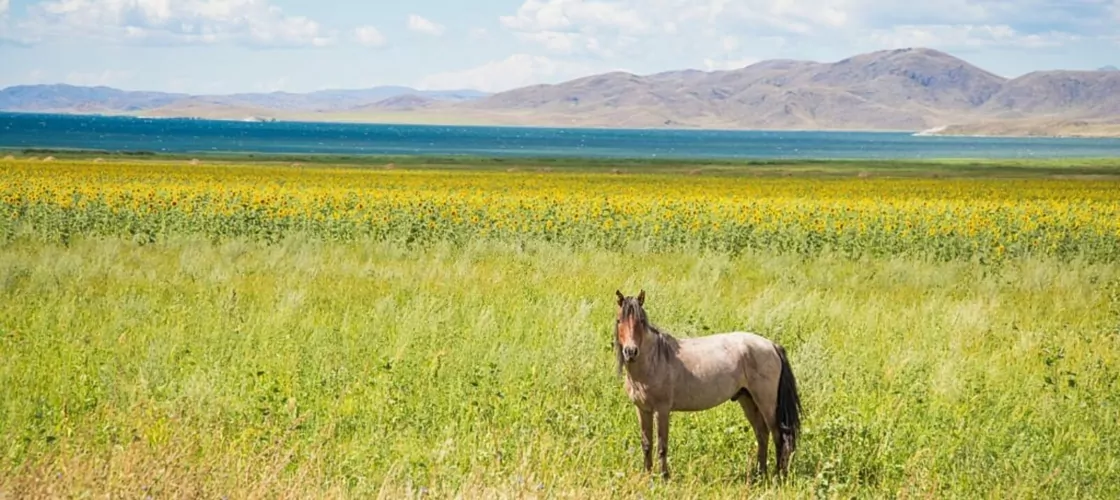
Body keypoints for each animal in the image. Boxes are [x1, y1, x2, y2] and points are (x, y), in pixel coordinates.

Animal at [613, 289, 806, 479]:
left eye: (640, 321)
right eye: (619, 320)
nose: (631, 352)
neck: (654, 360)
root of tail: (772, 345)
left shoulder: (662, 410)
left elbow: (662, 446)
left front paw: (664, 477)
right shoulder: (642, 409)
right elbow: (646, 444)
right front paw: (647, 476)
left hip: (767, 403)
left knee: (778, 435)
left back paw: (778, 476)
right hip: (747, 399)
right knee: (762, 434)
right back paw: (760, 474)